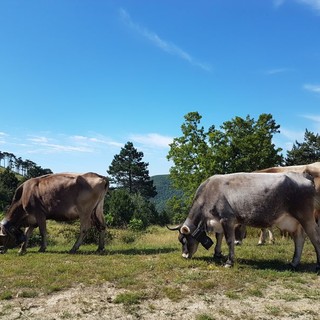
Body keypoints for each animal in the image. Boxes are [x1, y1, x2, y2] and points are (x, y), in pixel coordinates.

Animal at [168, 171, 320, 272]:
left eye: (184, 239)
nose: (184, 256)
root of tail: (303, 175)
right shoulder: (219, 221)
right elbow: (219, 237)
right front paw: (217, 253)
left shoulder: (227, 218)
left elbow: (229, 240)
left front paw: (229, 262)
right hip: (294, 222)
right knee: (299, 239)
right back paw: (294, 262)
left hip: (306, 217)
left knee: (314, 238)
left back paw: (317, 265)